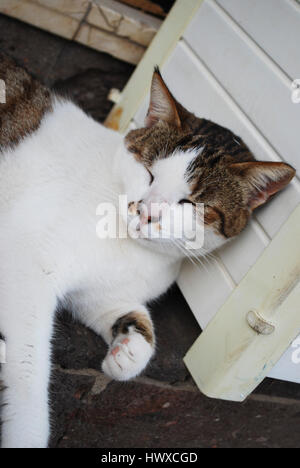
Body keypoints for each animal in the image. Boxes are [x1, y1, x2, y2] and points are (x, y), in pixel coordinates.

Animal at [0, 53, 296, 448]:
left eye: (191, 203)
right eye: (150, 171)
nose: (146, 211)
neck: (129, 247)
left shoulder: (102, 293)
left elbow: (138, 323)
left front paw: (128, 351)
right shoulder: (25, 261)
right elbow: (28, 360)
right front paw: (27, 431)